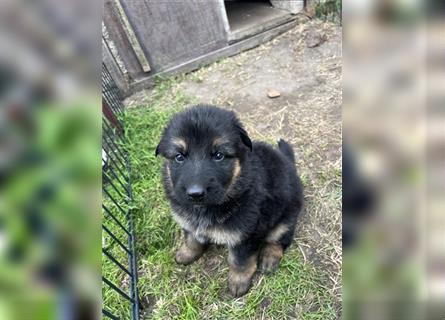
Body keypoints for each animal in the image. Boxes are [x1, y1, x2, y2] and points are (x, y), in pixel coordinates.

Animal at [154, 105, 304, 298]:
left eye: (218, 155)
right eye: (179, 157)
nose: (195, 193)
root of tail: (289, 164)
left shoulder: (245, 235)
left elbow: (239, 261)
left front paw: (238, 282)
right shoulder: (189, 223)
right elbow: (191, 239)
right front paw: (186, 254)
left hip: (286, 217)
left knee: (280, 239)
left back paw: (269, 258)